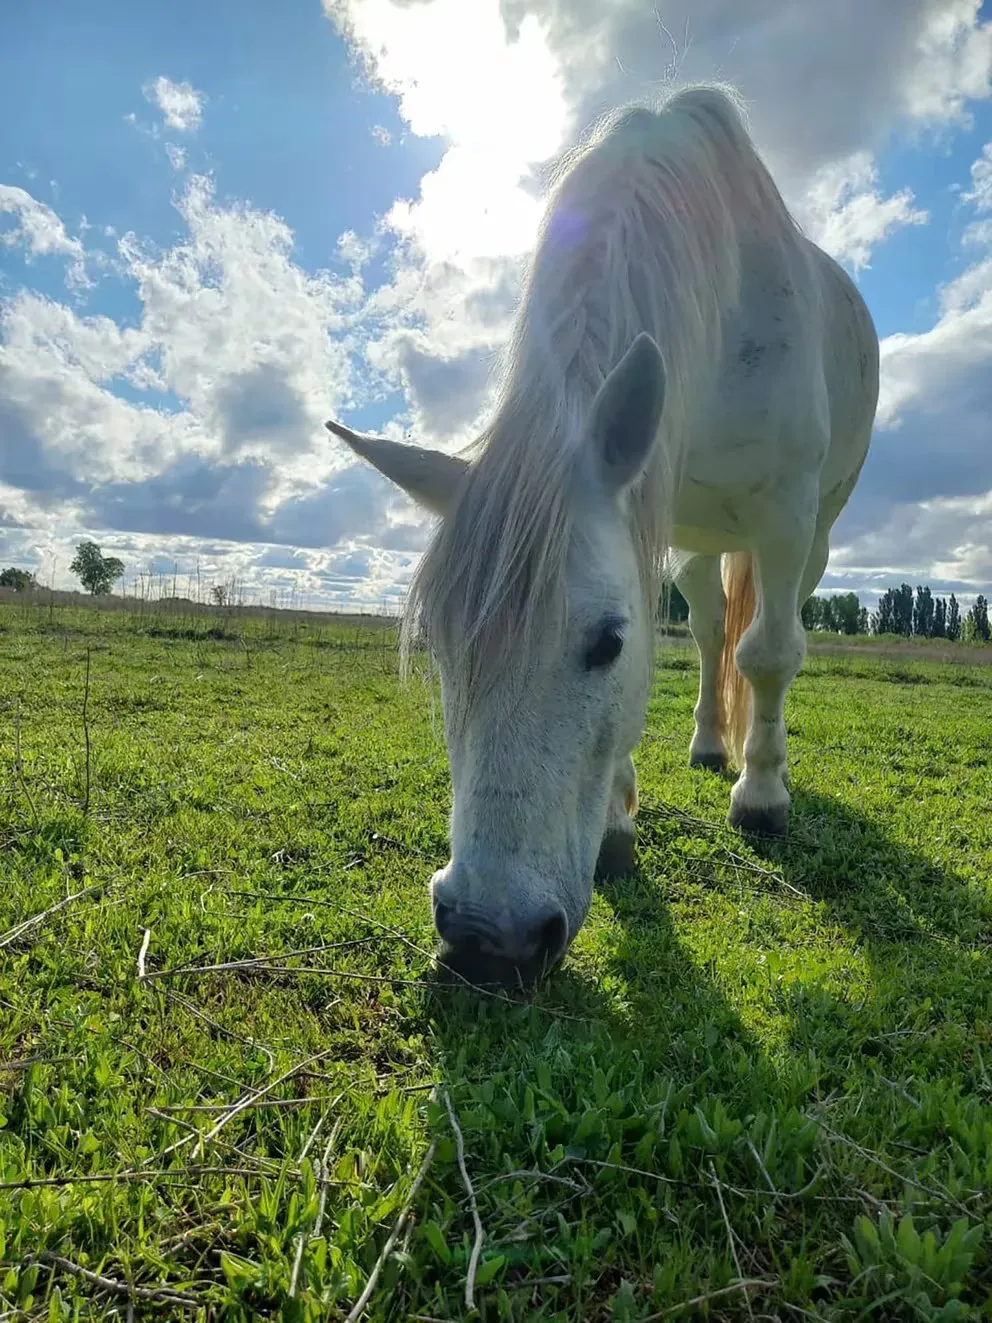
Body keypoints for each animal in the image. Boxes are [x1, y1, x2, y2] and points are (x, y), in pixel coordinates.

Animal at [326, 83, 879, 987]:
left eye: (605, 643)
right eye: (437, 645)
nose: (485, 938)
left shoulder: (786, 513)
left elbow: (767, 655)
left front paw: (762, 799)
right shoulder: (642, 514)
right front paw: (620, 823)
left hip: (814, 532)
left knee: (765, 637)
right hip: (691, 544)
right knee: (709, 630)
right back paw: (706, 743)